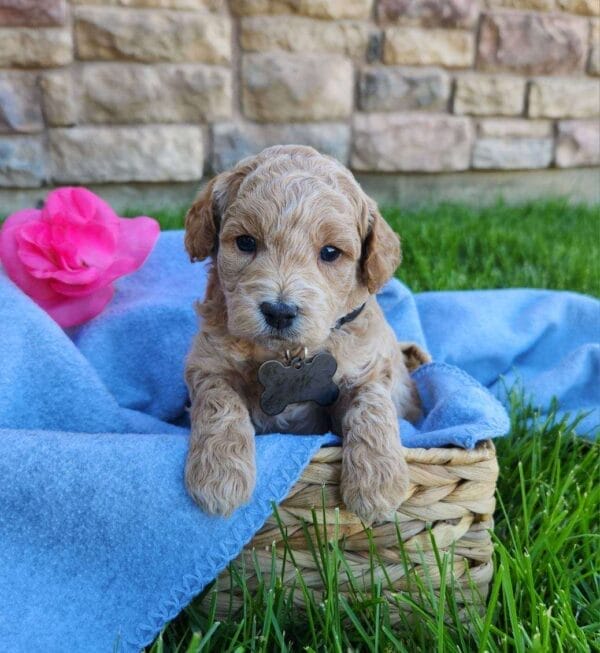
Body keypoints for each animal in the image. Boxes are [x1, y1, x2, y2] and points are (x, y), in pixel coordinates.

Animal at [183, 145, 426, 524]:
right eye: (246, 242)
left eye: (330, 252)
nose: (279, 311)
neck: (287, 354)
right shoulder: (208, 363)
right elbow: (219, 403)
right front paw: (219, 477)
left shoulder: (369, 366)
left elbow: (371, 406)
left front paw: (377, 484)